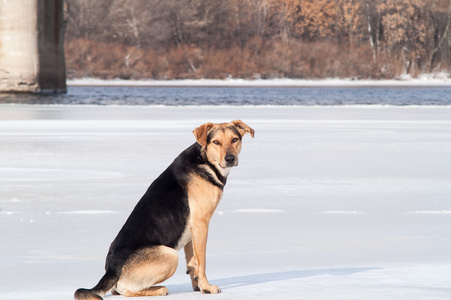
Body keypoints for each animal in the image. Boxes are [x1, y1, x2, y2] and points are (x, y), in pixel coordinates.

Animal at [74, 120, 254, 298]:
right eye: (216, 142)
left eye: (234, 140)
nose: (230, 158)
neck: (205, 161)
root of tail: (112, 269)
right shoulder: (201, 223)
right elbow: (201, 260)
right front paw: (207, 287)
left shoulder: (191, 231)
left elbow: (192, 262)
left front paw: (197, 287)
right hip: (170, 255)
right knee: (126, 290)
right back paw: (159, 289)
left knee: (116, 290)